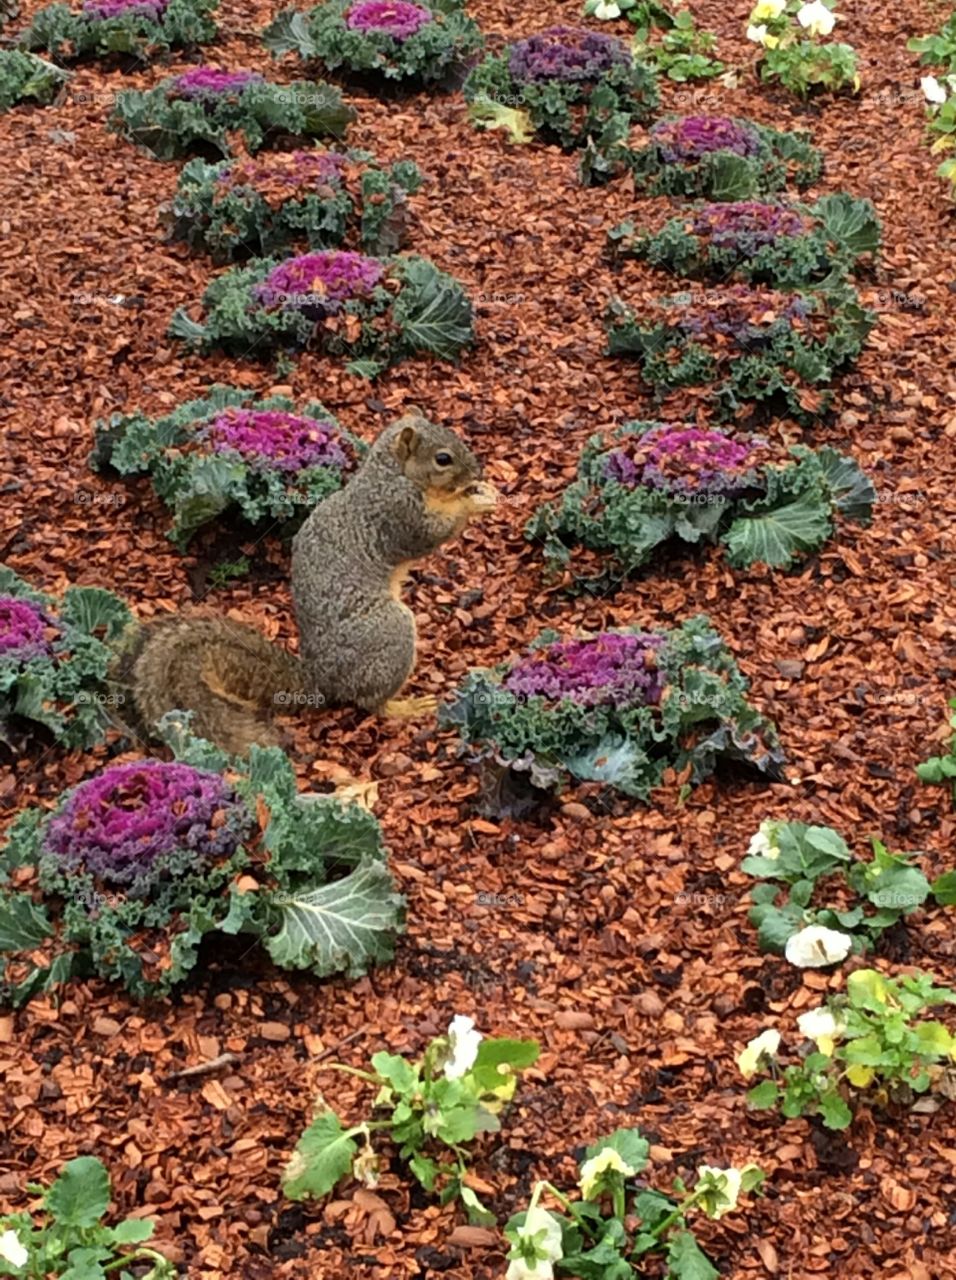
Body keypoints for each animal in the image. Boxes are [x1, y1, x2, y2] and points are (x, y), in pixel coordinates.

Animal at [111, 414, 497, 756]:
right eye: (442, 458)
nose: (476, 473)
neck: (391, 473)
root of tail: (321, 679)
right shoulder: (397, 513)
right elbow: (430, 534)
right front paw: (473, 501)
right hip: (388, 632)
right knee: (370, 702)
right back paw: (405, 707)